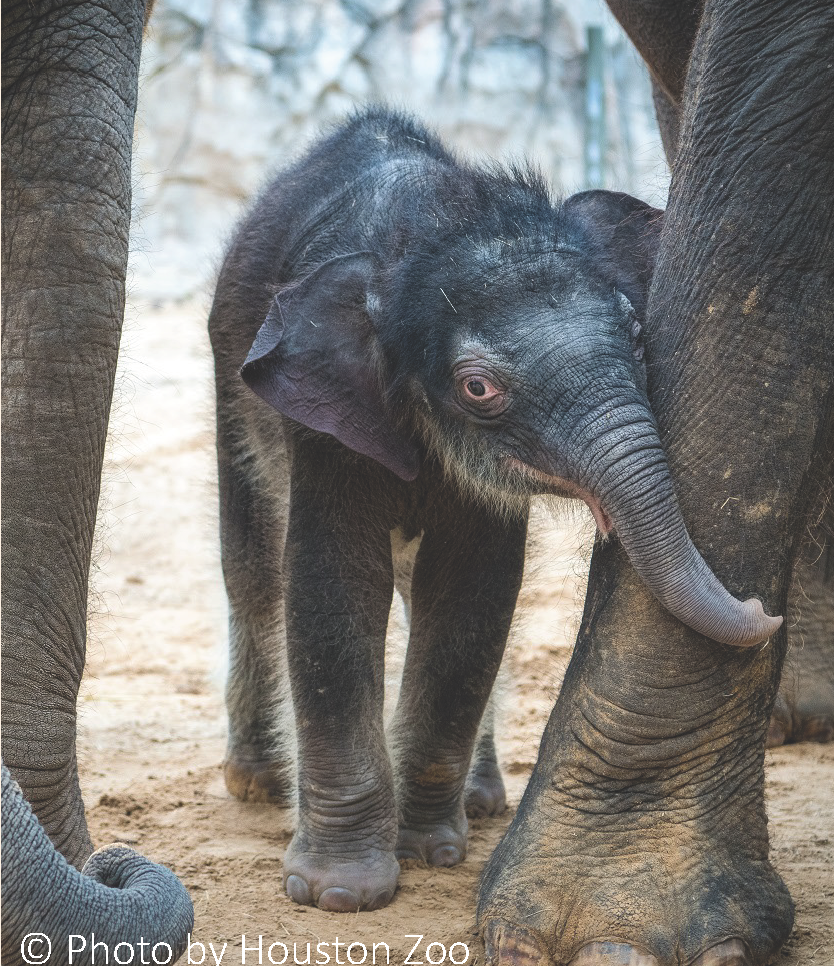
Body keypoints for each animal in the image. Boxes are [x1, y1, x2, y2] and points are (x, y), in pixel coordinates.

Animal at [206, 108, 772, 916]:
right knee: (252, 571)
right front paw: (339, 894)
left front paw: (431, 851)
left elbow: (472, 598)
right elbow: (330, 590)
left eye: (637, 336)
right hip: (230, 387)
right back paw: (255, 783)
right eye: (478, 388)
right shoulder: (323, 424)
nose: (762, 611)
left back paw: (478, 802)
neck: (432, 227)